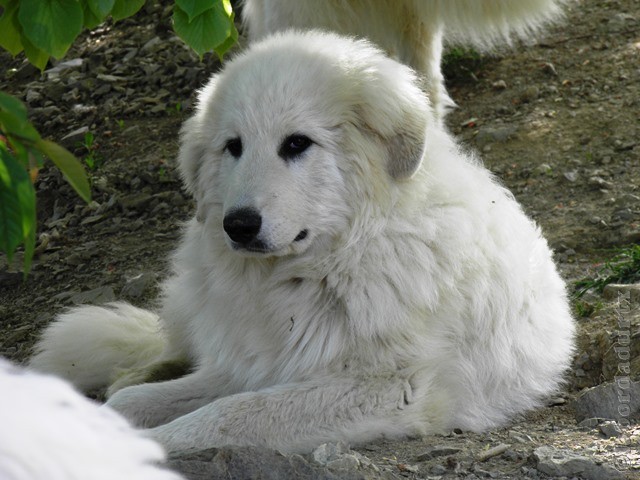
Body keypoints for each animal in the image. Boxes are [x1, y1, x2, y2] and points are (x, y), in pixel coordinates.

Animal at [28, 31, 576, 454]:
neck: (325, 265)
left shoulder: (389, 389)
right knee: (166, 347)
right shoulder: (251, 366)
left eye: (296, 144)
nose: (238, 225)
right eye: (233, 147)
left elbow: (228, 416)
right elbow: (135, 404)